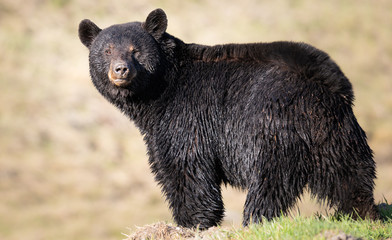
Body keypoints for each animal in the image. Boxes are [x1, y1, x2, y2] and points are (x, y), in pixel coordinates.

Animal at [79, 8, 380, 229]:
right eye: (107, 50)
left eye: (136, 50)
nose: (121, 69)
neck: (160, 91)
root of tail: (325, 84)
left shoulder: (185, 116)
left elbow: (185, 166)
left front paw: (191, 222)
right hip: (336, 133)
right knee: (350, 175)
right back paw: (363, 213)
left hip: (272, 126)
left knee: (270, 181)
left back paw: (254, 220)